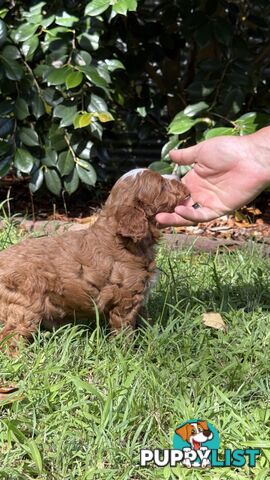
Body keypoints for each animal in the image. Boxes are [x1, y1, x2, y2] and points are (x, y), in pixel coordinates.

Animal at [0, 169, 189, 352]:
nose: (179, 177)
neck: (121, 239)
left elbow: (145, 321)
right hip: (24, 307)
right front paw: (128, 352)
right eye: (162, 186)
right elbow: (125, 329)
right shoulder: (125, 299)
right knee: (10, 336)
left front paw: (154, 337)